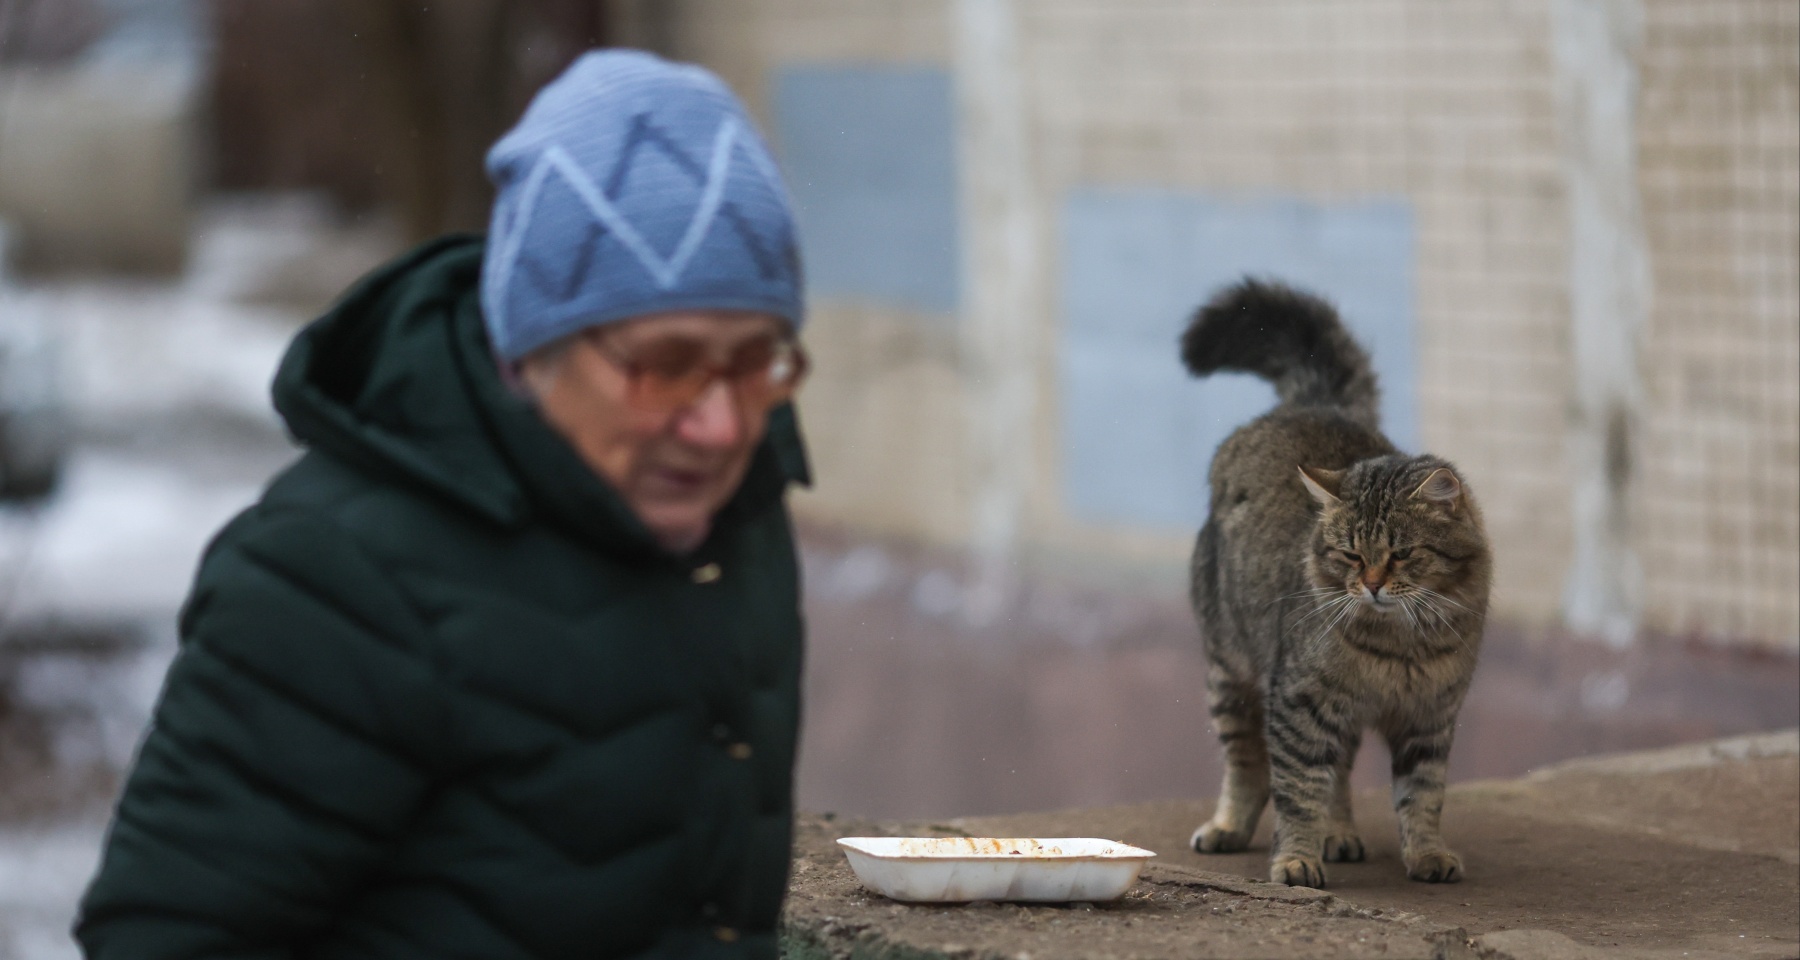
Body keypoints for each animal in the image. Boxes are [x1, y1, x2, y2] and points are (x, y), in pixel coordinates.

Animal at [1180, 280, 1490, 886]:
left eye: (1401, 554)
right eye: (1351, 554)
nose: (1370, 585)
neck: (1402, 645)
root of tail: (1308, 404)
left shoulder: (1430, 719)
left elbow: (1423, 796)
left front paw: (1427, 853)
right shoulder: (1300, 702)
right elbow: (1298, 790)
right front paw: (1296, 859)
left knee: (1339, 771)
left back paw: (1340, 833)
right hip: (1231, 671)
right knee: (1249, 764)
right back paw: (1230, 827)